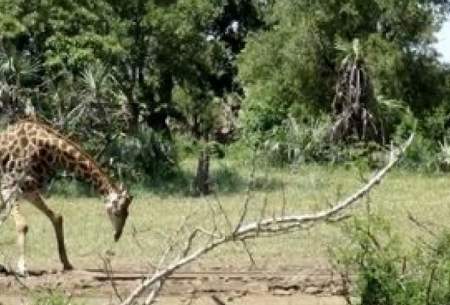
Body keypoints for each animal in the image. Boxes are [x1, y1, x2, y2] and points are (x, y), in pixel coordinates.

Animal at [0, 118, 134, 274]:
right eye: (117, 213)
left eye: (127, 214)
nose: (117, 235)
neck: (48, 150)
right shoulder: (8, 186)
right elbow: (22, 224)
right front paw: (21, 268)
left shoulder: (29, 190)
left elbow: (57, 217)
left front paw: (67, 263)